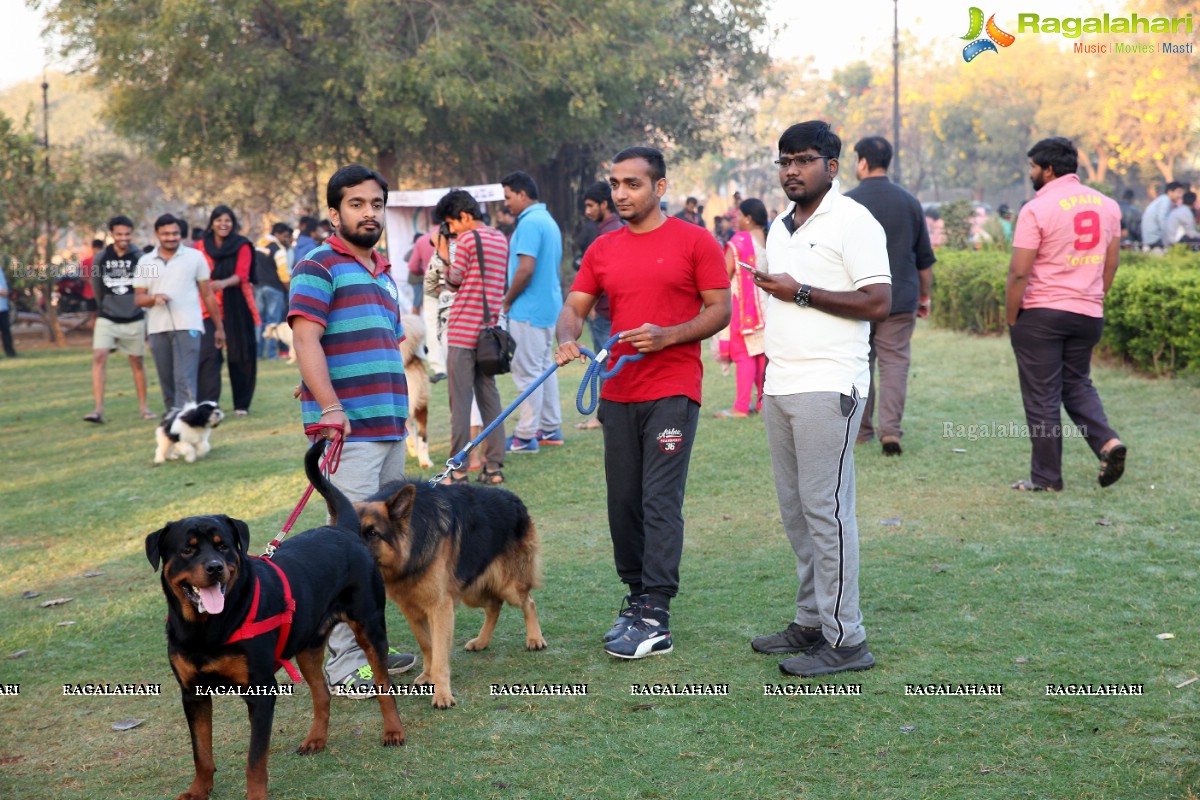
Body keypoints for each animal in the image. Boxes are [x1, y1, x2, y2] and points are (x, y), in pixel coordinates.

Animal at [145, 441, 405, 800]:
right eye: (188, 550)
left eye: (223, 547)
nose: (215, 568)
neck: (206, 628)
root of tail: (342, 529)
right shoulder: (193, 694)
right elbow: (201, 752)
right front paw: (198, 790)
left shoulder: (260, 691)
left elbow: (255, 758)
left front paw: (255, 796)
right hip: (308, 646)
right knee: (322, 695)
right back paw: (315, 739)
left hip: (370, 628)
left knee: (383, 684)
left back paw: (393, 730)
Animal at [336, 474, 547, 705]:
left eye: (372, 533)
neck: (412, 548)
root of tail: (514, 498)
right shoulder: (411, 610)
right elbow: (428, 646)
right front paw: (428, 676)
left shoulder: (440, 609)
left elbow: (439, 655)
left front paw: (442, 694)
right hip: (472, 591)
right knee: (494, 605)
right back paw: (482, 641)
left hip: (508, 586)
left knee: (529, 602)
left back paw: (535, 639)